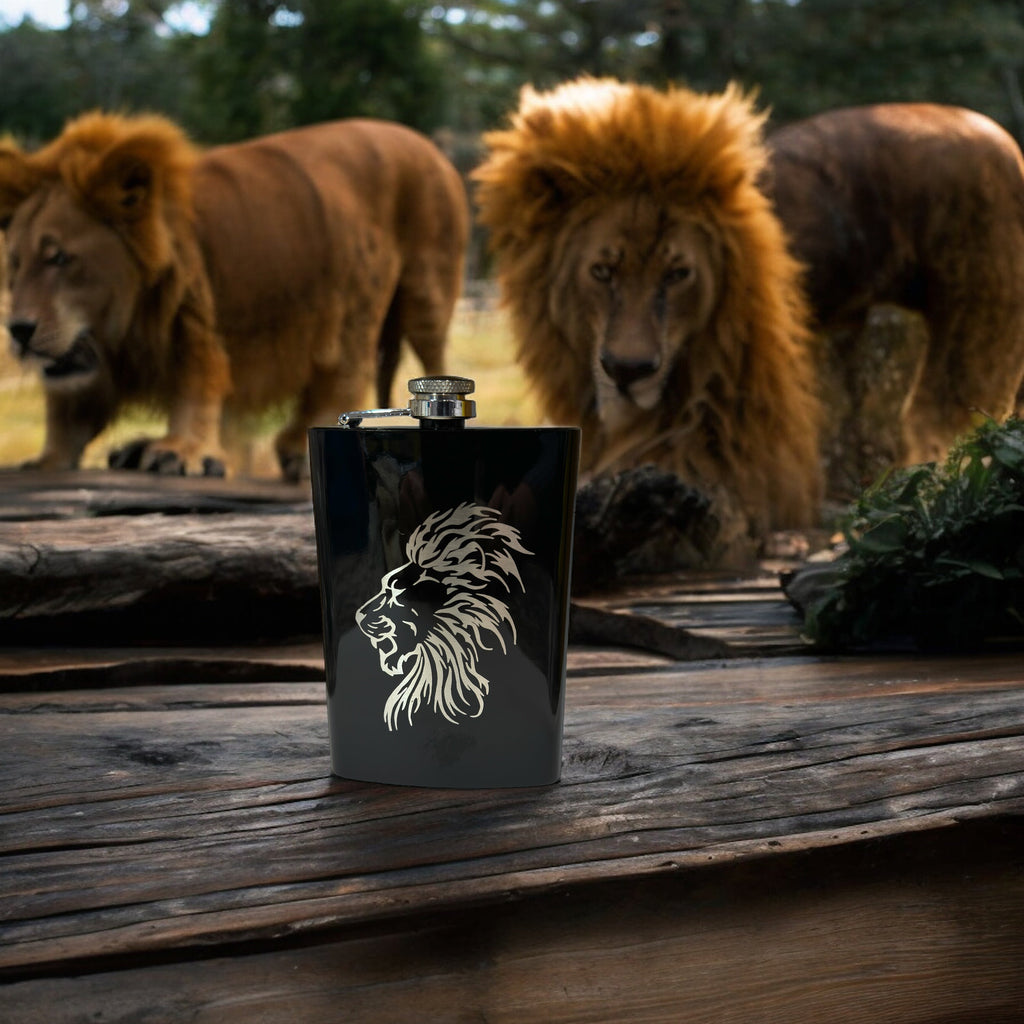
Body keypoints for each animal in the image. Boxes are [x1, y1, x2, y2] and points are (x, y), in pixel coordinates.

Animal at [0, 112, 469, 479]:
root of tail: (428, 146)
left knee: (372, 368)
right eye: (17, 263)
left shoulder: (192, 317)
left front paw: (181, 452)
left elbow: (197, 380)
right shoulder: (87, 367)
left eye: (60, 258)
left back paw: (303, 450)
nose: (18, 330)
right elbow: (68, 416)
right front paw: (45, 461)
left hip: (402, 298)